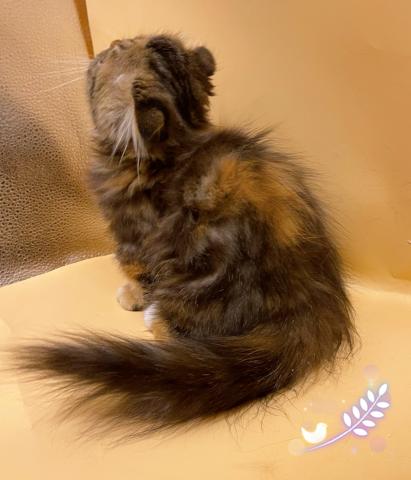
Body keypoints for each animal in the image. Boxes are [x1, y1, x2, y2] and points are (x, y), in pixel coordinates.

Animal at [15, 34, 355, 438]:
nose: (112, 41)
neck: (172, 150)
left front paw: (131, 296)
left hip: (200, 268)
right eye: (124, 44)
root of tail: (312, 300)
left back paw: (155, 318)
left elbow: (135, 271)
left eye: (116, 54)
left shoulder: (134, 237)